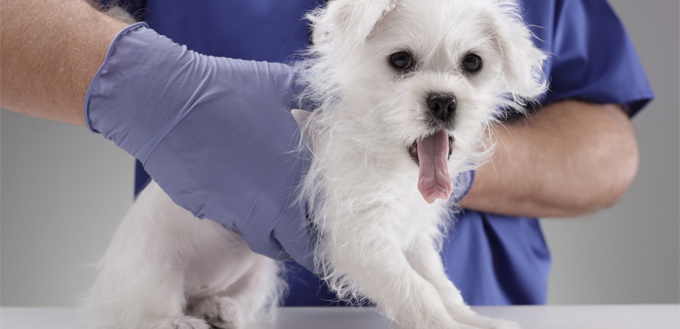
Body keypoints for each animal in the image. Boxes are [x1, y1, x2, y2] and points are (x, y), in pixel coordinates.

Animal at [81, 0, 548, 328]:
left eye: (472, 63)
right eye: (400, 60)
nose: (444, 101)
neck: (386, 155)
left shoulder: (413, 237)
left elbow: (443, 286)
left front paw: (476, 320)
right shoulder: (360, 240)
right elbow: (417, 291)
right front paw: (444, 325)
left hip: (260, 271)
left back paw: (220, 307)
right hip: (153, 274)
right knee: (144, 313)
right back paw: (179, 320)